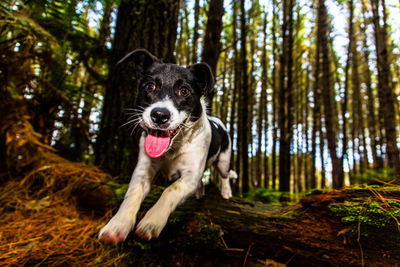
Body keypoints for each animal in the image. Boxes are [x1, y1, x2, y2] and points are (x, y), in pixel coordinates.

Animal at [99, 49, 238, 245]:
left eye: (184, 91)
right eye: (150, 87)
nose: (159, 115)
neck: (173, 147)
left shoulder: (190, 175)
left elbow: (170, 190)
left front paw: (151, 221)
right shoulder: (143, 170)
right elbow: (133, 193)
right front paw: (118, 225)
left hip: (224, 160)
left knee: (225, 175)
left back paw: (226, 192)